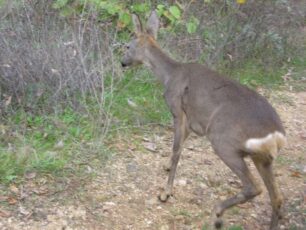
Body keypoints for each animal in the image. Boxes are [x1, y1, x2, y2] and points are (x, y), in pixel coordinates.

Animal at [122, 10, 286, 228]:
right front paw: (166, 167)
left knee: (254, 187)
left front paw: (165, 193)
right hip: (262, 158)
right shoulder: (192, 122)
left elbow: (177, 150)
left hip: (224, 142)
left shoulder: (178, 112)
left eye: (127, 46)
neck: (169, 75)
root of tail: (276, 135)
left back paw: (217, 212)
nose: (122, 62)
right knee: (277, 197)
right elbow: (179, 148)